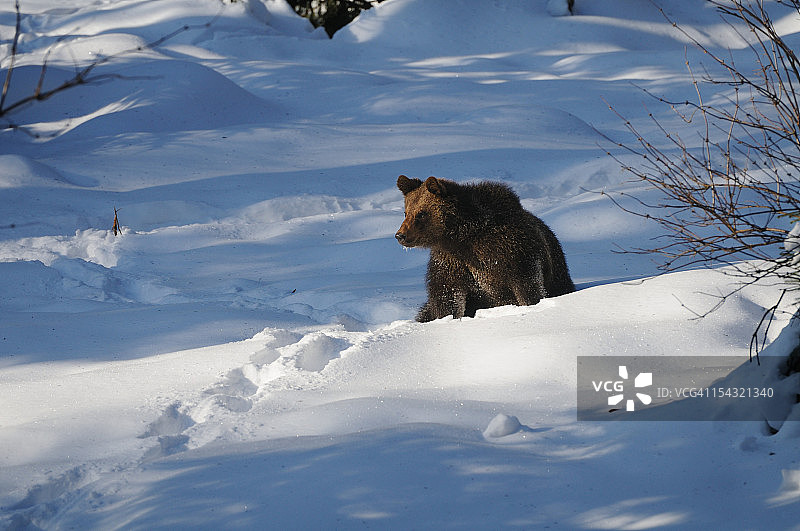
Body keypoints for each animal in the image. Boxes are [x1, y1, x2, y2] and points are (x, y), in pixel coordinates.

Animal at [395, 175, 575, 322]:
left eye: (421, 213)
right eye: (406, 212)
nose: (400, 235)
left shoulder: (512, 251)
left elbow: (527, 286)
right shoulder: (451, 261)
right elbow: (446, 295)